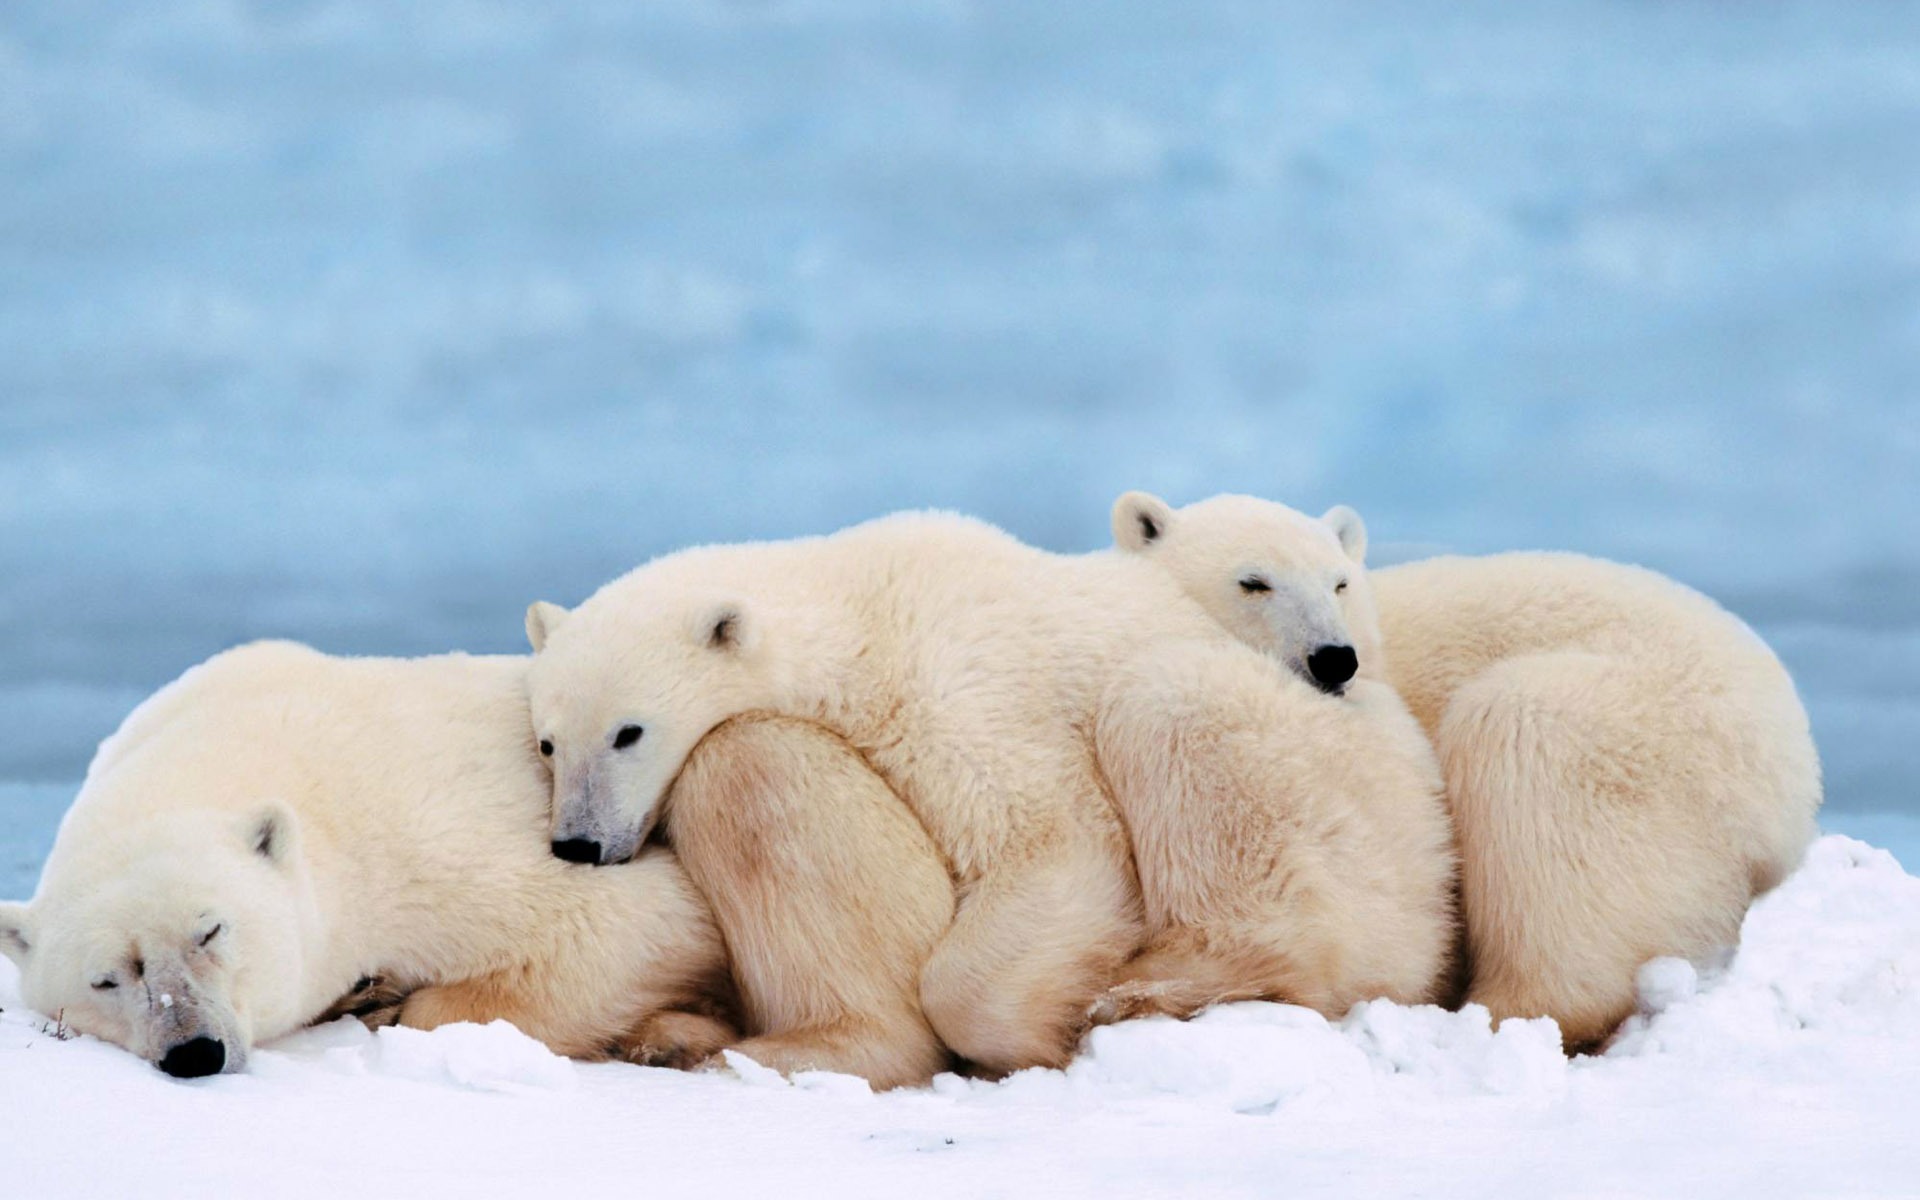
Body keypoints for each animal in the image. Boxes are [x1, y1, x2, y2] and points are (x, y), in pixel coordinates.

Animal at [0, 645, 956, 1082]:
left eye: (211, 930)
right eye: (107, 978)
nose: (193, 1050)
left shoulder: (423, 834)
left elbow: (629, 923)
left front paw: (393, 1000)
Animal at [526, 510, 1451, 1075]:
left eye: (628, 732)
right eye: (547, 741)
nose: (578, 843)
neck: (861, 608)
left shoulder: (956, 688)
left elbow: (1052, 842)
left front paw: (1037, 1035)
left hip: (1335, 791)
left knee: (1171, 707)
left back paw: (1156, 988)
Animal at [1113, 491, 1812, 1044]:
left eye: (1338, 582)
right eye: (1252, 581)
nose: (1335, 658)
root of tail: (1793, 786)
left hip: (1652, 736)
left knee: (1524, 749)